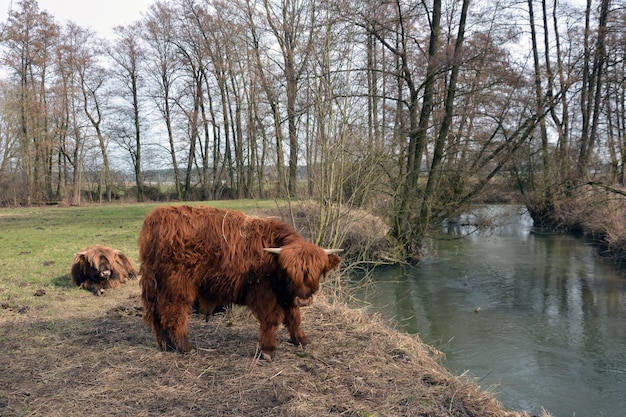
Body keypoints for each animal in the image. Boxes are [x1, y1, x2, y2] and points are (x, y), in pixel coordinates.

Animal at [139, 204, 342, 358]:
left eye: (318, 272)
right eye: (290, 272)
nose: (305, 300)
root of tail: (156, 218)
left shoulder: (286, 295)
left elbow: (294, 318)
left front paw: (300, 340)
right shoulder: (264, 292)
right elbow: (272, 319)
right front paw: (268, 350)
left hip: (157, 287)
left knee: (158, 316)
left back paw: (167, 345)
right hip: (177, 287)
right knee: (174, 315)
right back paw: (185, 347)